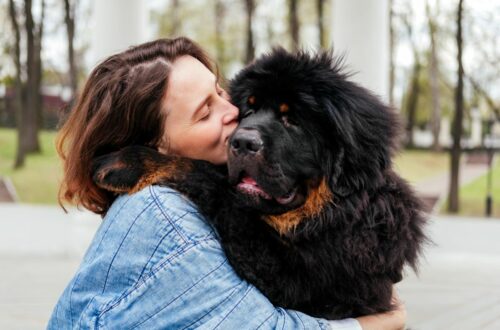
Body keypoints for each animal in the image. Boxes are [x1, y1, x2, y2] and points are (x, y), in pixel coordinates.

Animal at [92, 49, 428, 320]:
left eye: (292, 120)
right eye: (249, 110)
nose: (241, 142)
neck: (333, 214)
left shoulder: (304, 283)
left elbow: (203, 173)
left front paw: (126, 163)